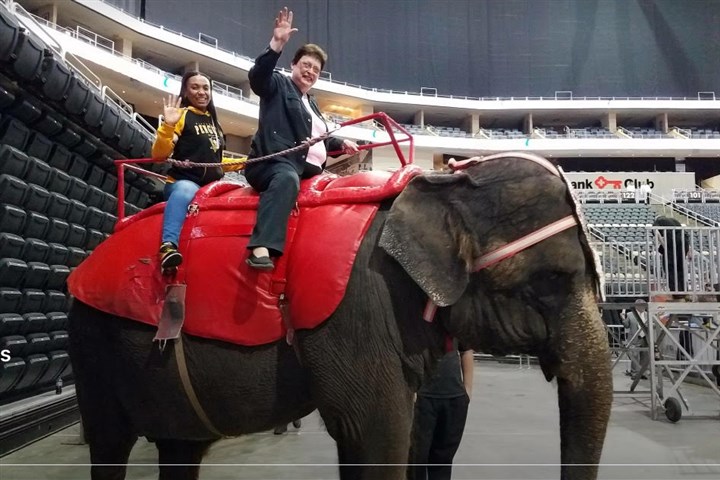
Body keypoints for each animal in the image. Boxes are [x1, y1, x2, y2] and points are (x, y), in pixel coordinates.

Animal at [68, 153, 612, 480]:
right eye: (551, 282)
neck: (438, 184)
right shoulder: (361, 310)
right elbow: (377, 434)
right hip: (92, 341)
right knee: (110, 442)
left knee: (181, 447)